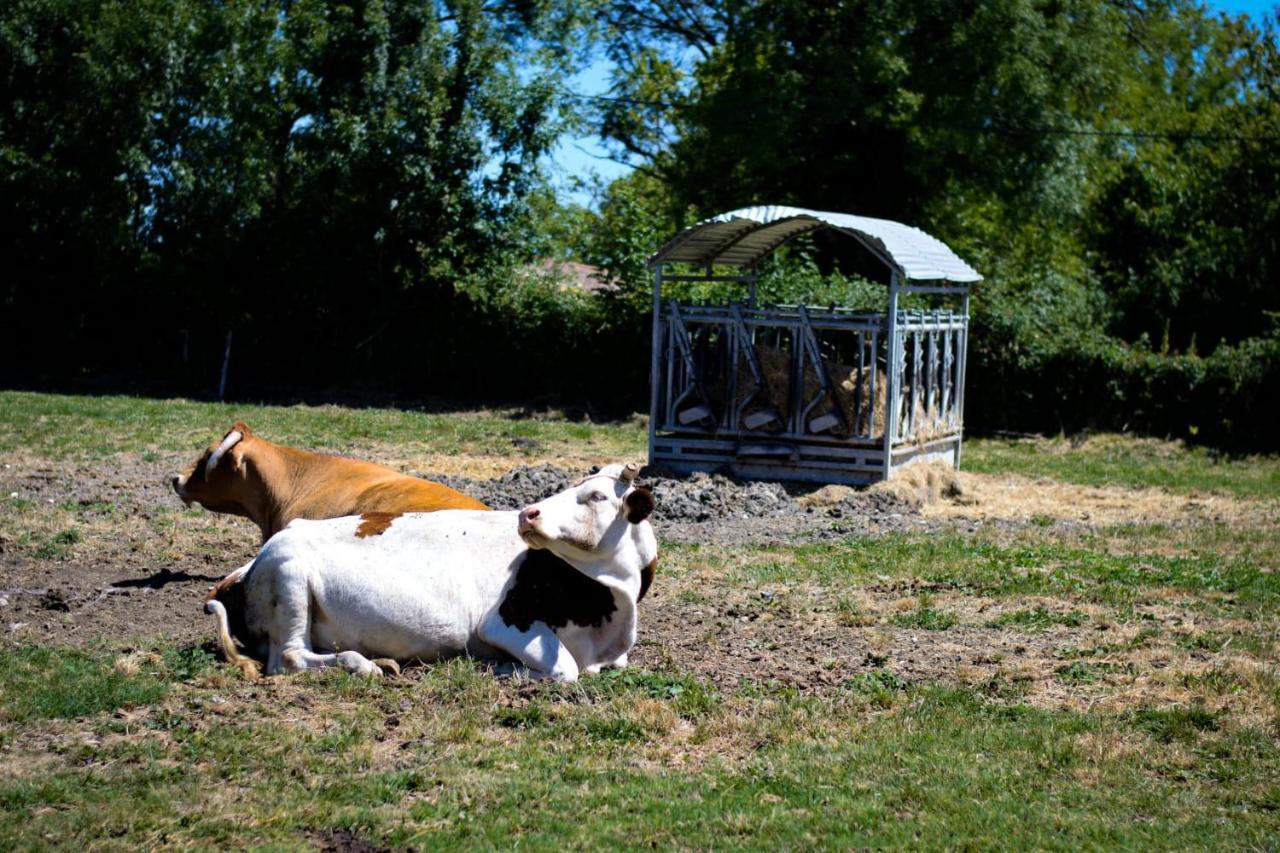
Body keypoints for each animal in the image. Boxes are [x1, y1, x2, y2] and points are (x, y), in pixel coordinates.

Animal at [207, 461, 660, 681]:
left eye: (596, 496)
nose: (527, 514)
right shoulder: (503, 622)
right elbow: (566, 670)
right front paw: (501, 668)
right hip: (289, 578)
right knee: (288, 658)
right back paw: (364, 665)